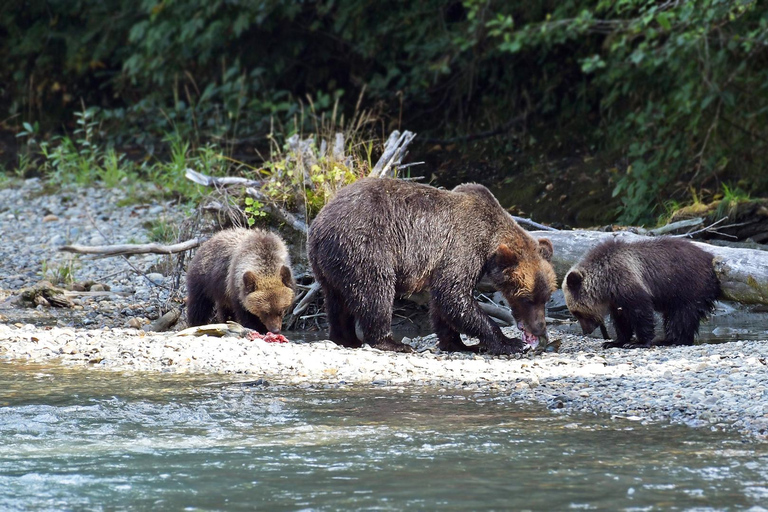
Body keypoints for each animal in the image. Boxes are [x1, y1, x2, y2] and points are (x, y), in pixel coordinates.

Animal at [307, 177, 557, 355]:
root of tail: (318, 224)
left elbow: (442, 303)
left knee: (337, 300)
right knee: (375, 293)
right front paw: (509, 342)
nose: (539, 328)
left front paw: (457, 343)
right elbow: (453, 294)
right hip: (365, 247)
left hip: (331, 264)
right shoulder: (463, 246)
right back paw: (392, 343)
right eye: (527, 298)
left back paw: (346, 338)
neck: (489, 240)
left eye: (545, 298)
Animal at [562, 237, 721, 349]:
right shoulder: (616, 299)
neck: (605, 284)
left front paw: (638, 342)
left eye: (577, 312)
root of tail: (710, 257)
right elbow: (621, 319)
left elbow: (640, 311)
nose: (585, 331)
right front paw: (614, 342)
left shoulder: (626, 281)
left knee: (683, 315)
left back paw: (672, 340)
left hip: (687, 285)